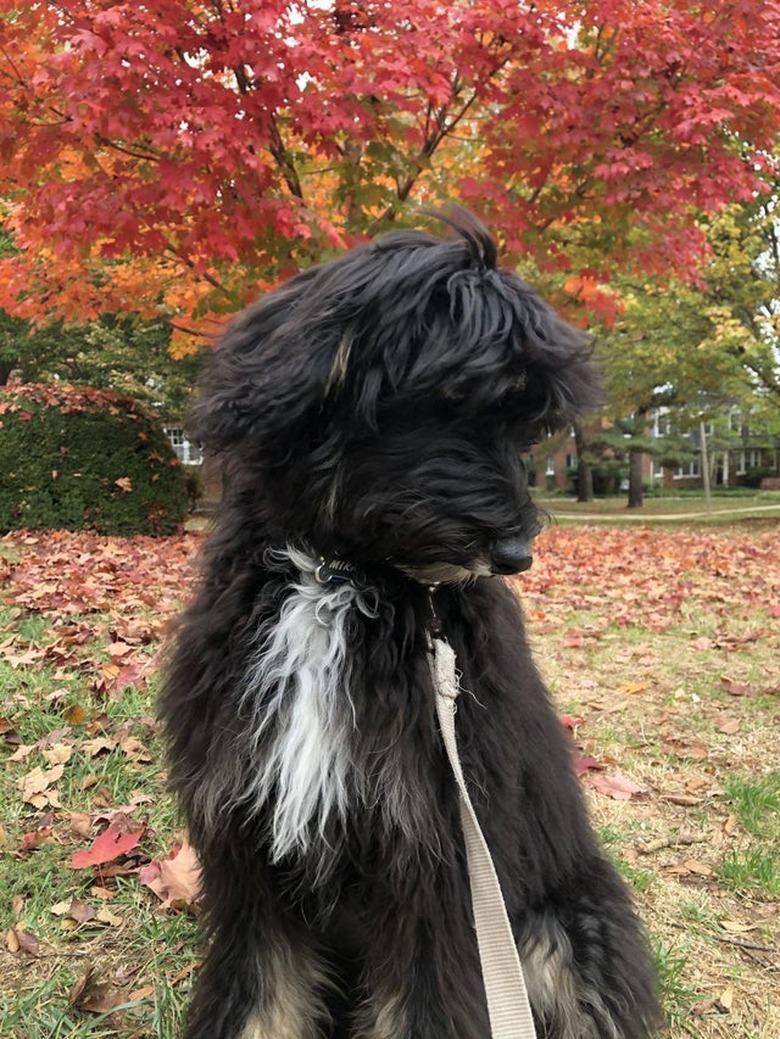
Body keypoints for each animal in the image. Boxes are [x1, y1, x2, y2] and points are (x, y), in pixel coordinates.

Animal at [162, 210, 660, 1039]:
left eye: (528, 430)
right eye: (454, 396)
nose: (516, 554)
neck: (341, 578)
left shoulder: (440, 861)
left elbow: (424, 1003)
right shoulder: (249, 846)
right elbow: (259, 990)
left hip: (569, 928)